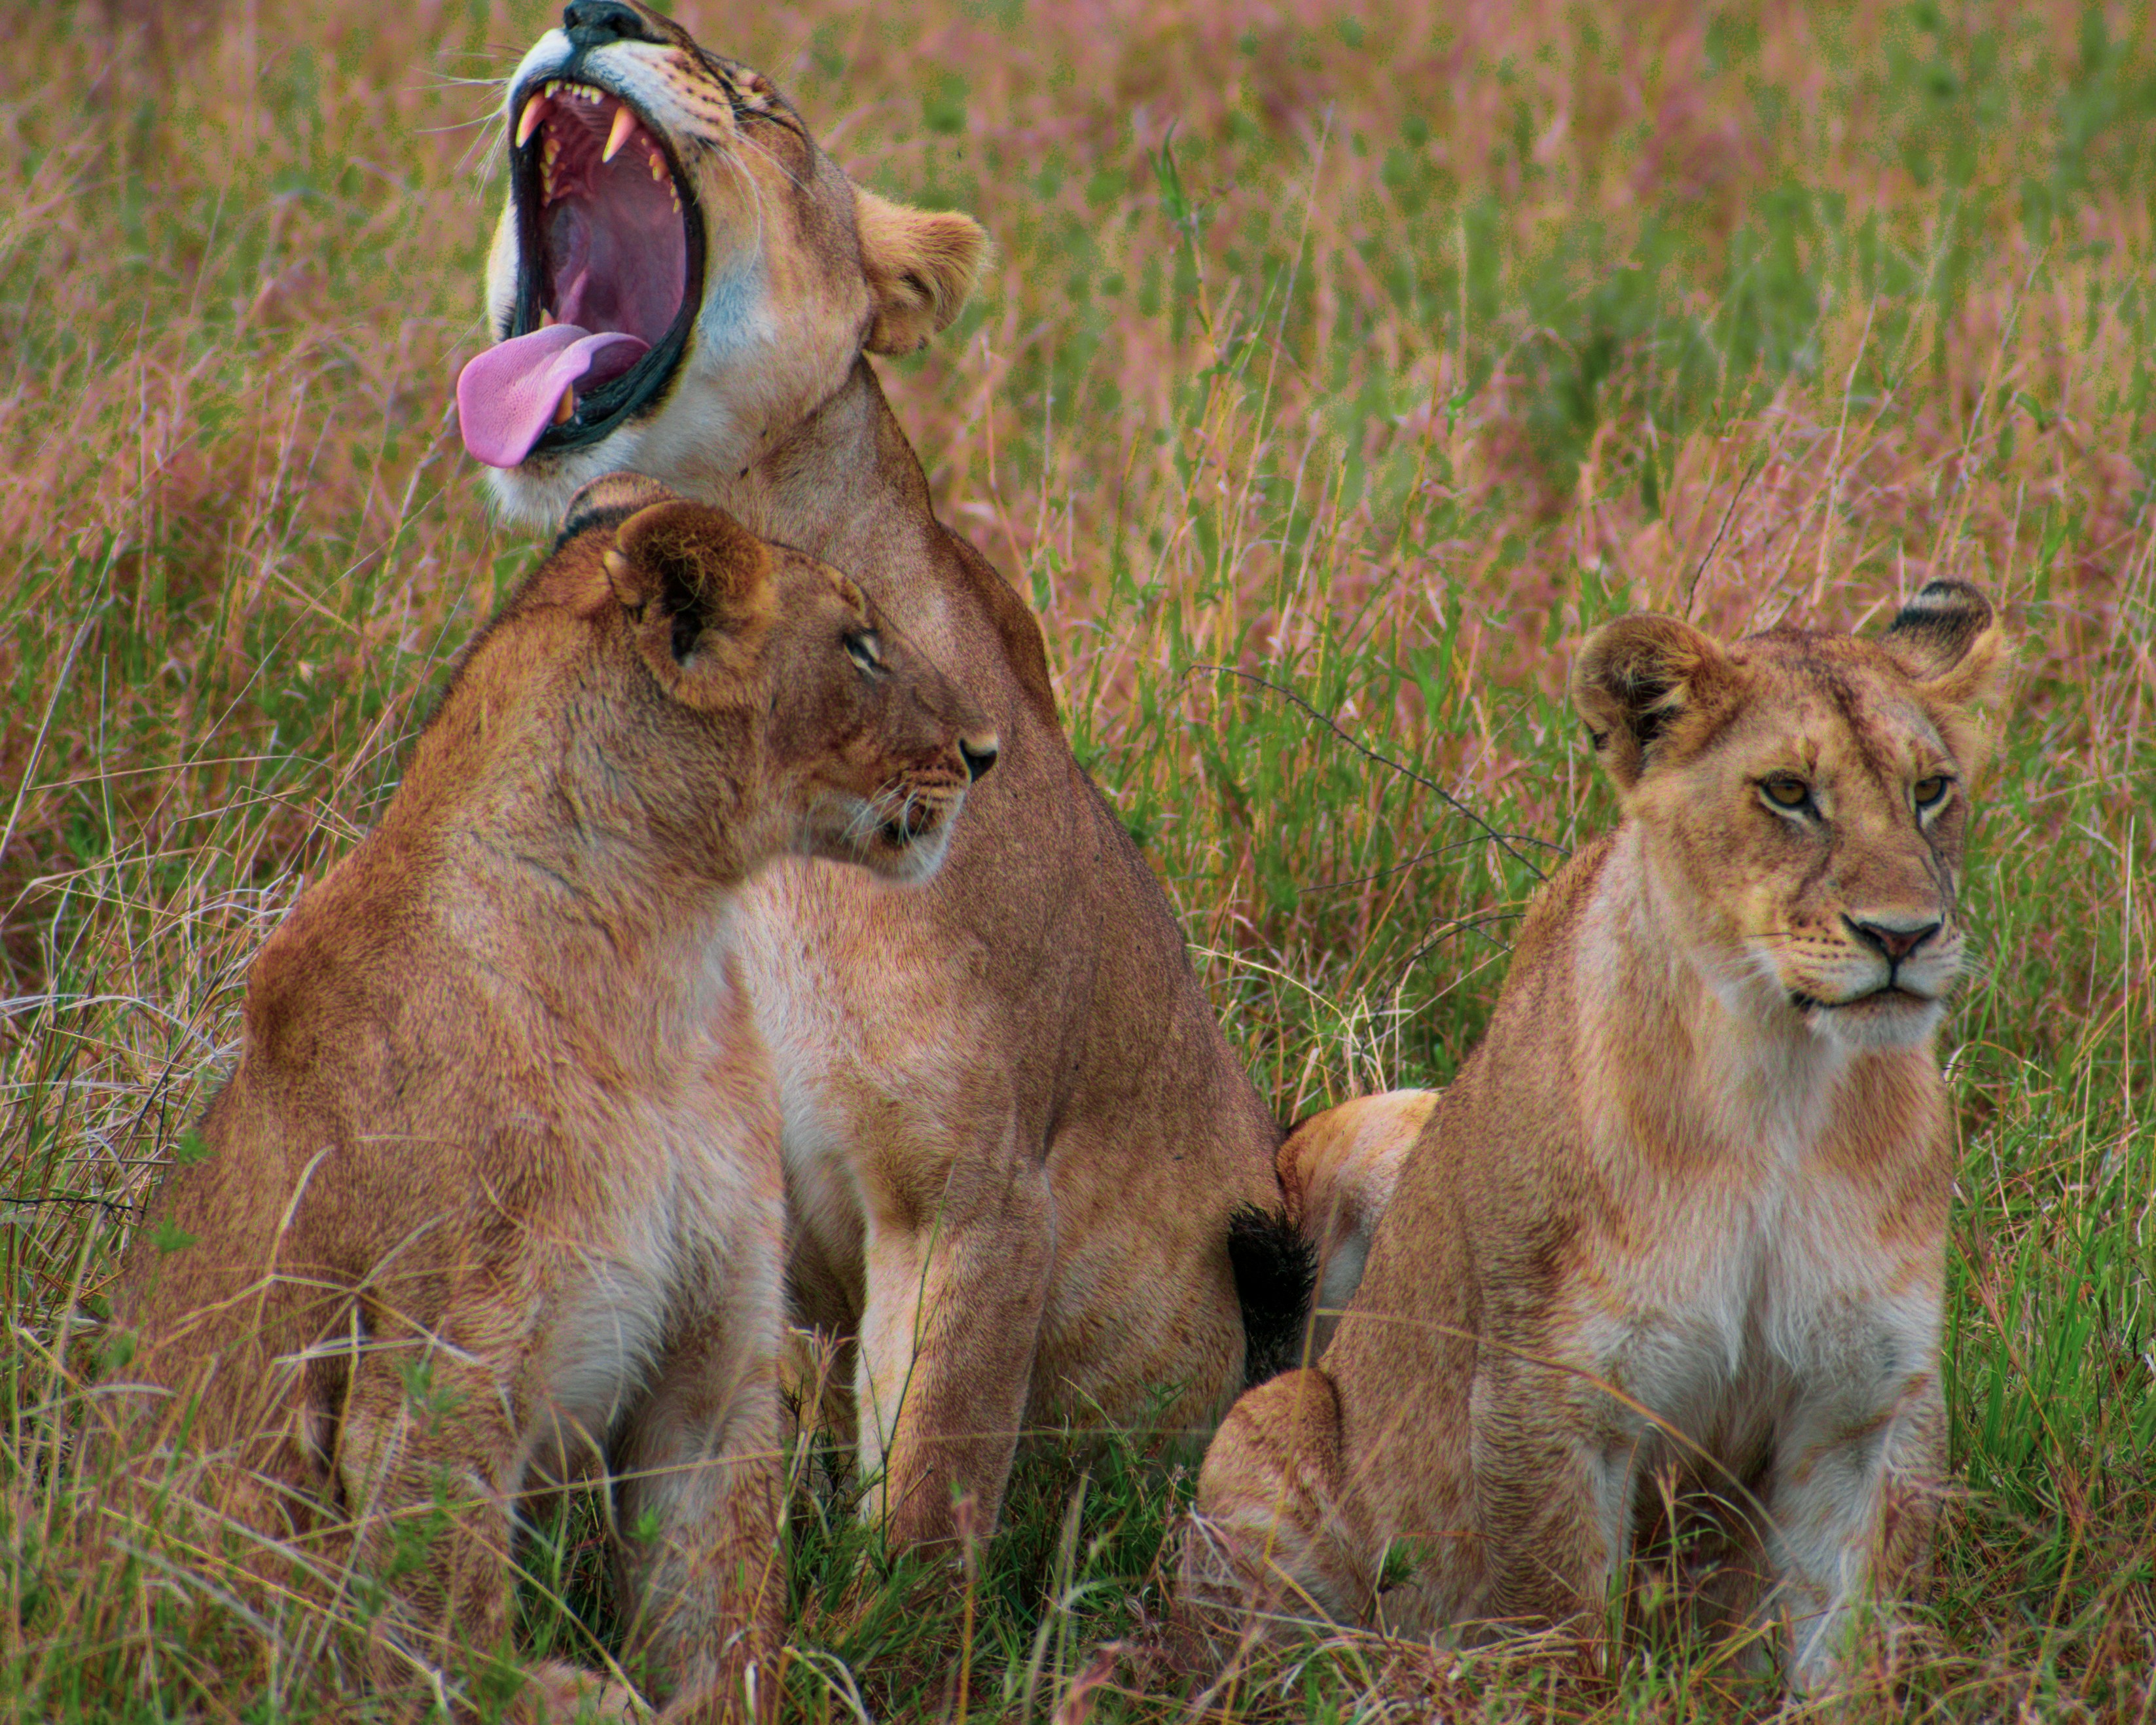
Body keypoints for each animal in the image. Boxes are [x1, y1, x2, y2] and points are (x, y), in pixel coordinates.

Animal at [104, 476, 997, 1722]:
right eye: (858, 644)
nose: (985, 750)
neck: (657, 955)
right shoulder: (435, 1379)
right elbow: (445, 1632)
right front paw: (556, 1688)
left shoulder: (715, 1363)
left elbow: (725, 1612)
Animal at [1176, 582, 2007, 1696]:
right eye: (1788, 791)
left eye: (1930, 789)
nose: (1903, 935)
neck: (1779, 1089)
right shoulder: (1551, 1391)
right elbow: (1559, 1625)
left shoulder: (1863, 1402)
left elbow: (1848, 1642)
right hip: (1275, 1417)